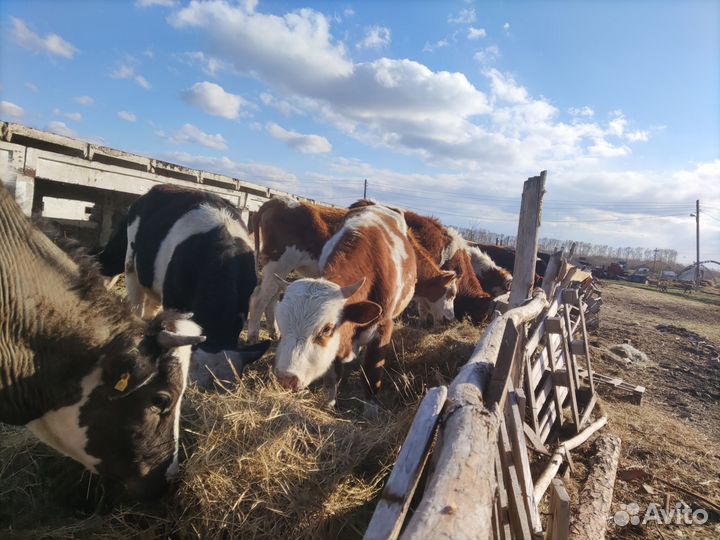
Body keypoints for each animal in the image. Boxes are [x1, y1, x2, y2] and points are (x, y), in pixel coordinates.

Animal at [247, 198, 457, 341]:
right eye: (451, 293)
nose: (451, 318)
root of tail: (278, 200)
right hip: (278, 263)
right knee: (259, 299)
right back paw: (253, 337)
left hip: (278, 271)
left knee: (271, 299)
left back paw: (275, 332)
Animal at [273, 204, 416, 411]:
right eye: (281, 327)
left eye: (326, 329)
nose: (286, 378)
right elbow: (333, 374)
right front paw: (329, 403)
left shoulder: (384, 327)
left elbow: (372, 373)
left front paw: (370, 411)